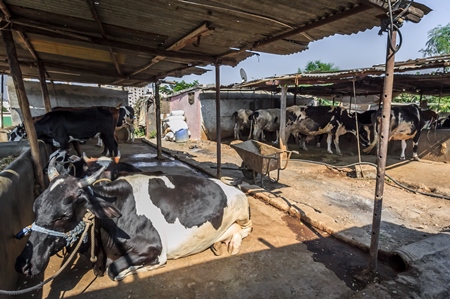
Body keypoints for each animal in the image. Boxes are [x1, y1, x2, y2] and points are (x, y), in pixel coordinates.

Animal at [14, 162, 251, 282]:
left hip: (243, 211)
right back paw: (219, 243)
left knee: (245, 230)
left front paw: (145, 268)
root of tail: (230, 183)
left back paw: (232, 244)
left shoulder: (153, 247)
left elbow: (114, 270)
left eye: (63, 216)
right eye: (35, 207)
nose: (23, 264)